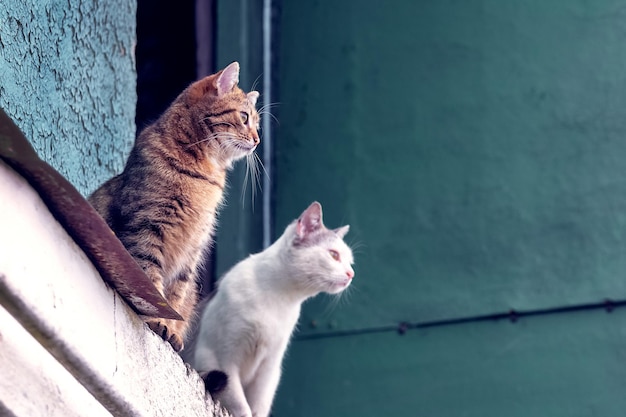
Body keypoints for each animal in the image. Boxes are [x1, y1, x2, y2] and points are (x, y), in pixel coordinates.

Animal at [88, 61, 258, 352]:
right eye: (245, 117)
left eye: (258, 123)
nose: (258, 140)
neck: (205, 172)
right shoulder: (146, 227)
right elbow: (151, 284)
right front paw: (157, 322)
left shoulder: (192, 249)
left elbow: (176, 295)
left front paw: (171, 329)